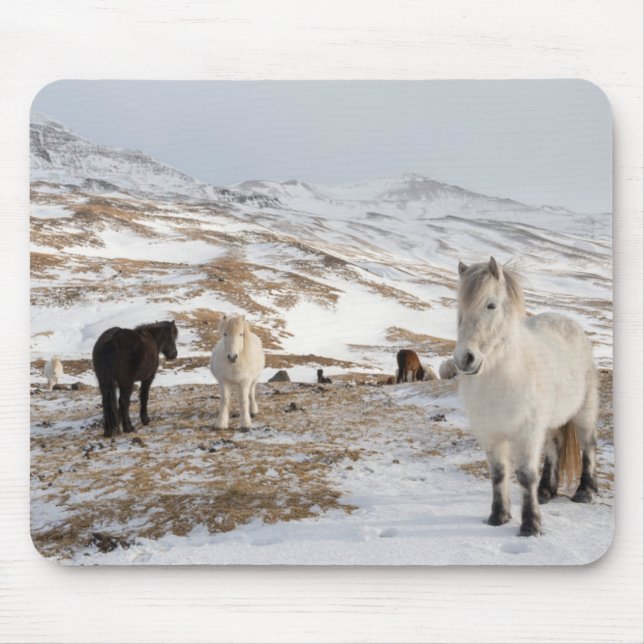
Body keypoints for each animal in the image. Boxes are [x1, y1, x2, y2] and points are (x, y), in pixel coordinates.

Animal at [453, 257, 598, 536]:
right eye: (460, 308)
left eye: (491, 305)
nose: (464, 359)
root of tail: (568, 322)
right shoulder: (491, 434)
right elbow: (499, 474)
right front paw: (498, 517)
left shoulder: (527, 433)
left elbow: (525, 475)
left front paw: (531, 525)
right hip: (551, 422)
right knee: (554, 448)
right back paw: (546, 492)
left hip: (584, 413)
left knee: (588, 446)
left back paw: (584, 492)